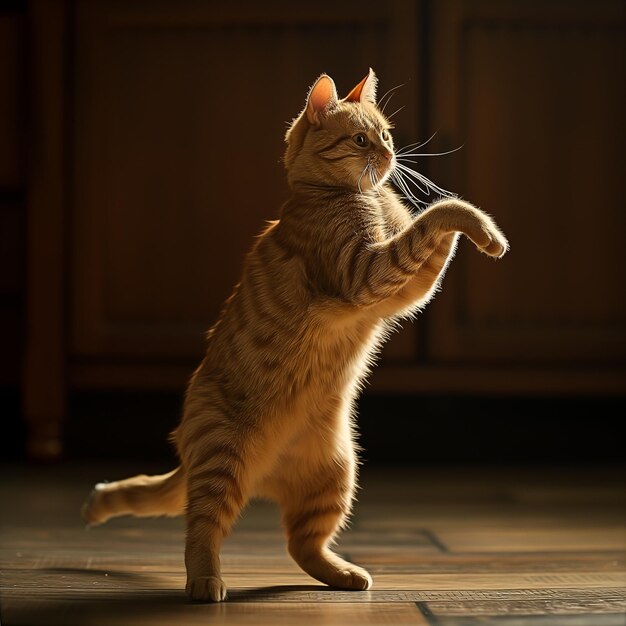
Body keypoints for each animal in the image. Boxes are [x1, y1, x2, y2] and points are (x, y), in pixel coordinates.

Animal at [80, 68, 508, 600]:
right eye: (361, 140)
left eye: (387, 136)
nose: (389, 155)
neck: (355, 196)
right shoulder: (369, 272)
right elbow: (442, 213)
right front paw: (486, 231)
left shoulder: (407, 286)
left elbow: (435, 228)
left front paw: (485, 233)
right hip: (224, 463)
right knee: (201, 530)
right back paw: (205, 581)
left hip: (337, 475)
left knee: (301, 545)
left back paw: (344, 574)